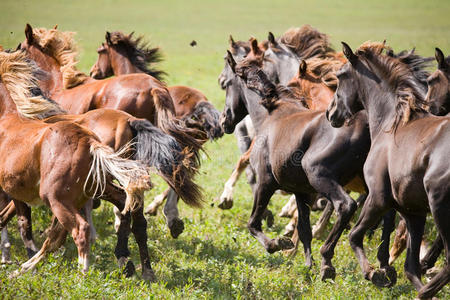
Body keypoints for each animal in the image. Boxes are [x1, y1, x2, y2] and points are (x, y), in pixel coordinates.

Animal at [0, 49, 152, 276]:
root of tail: (90, 142)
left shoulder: (14, 191)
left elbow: (21, 223)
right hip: (88, 191)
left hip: (56, 198)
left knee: (78, 230)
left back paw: (83, 273)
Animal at [222, 49, 372, 282]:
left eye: (228, 84)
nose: (224, 120)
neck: (271, 113)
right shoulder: (301, 192)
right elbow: (304, 230)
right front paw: (307, 266)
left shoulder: (265, 183)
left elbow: (253, 223)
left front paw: (278, 244)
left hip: (321, 177)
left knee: (346, 205)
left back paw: (328, 262)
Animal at [326, 41, 450, 298]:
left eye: (340, 76)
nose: (330, 113)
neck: (392, 123)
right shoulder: (414, 213)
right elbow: (410, 267)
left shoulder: (378, 198)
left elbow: (354, 235)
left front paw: (374, 274)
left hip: (441, 210)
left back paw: (425, 292)